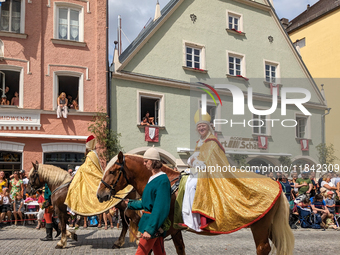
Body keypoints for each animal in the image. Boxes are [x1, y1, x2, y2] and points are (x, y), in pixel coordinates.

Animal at [97, 152, 294, 254]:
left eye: (112, 171)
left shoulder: (160, 228)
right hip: (269, 226)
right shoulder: (173, 230)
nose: (100, 194)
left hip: (259, 226)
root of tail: (275, 183)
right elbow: (179, 249)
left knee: (263, 248)